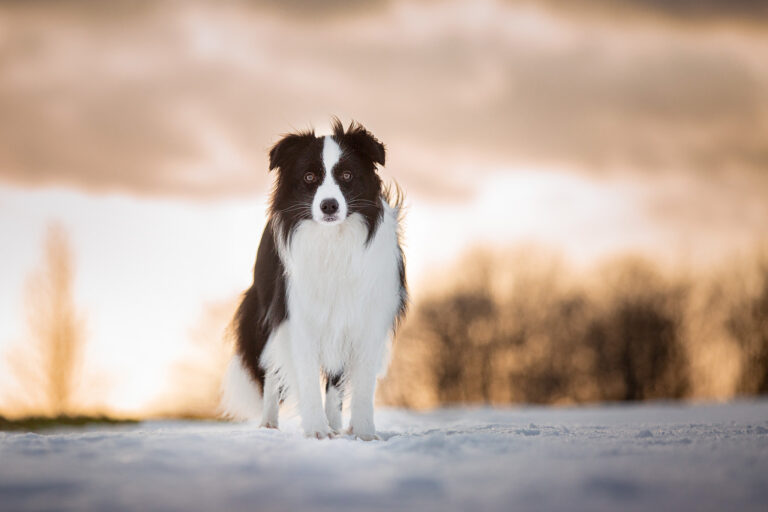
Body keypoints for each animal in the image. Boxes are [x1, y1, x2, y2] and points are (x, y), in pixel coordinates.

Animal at [219, 120, 404, 440]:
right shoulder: (296, 317)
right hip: (265, 312)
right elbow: (304, 377)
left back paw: (337, 425)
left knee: (335, 380)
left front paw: (364, 433)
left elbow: (361, 384)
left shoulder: (366, 317)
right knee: (271, 371)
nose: (329, 206)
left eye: (347, 175)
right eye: (309, 177)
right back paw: (269, 423)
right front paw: (317, 430)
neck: (333, 240)